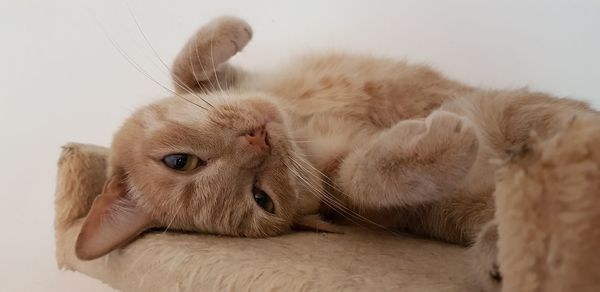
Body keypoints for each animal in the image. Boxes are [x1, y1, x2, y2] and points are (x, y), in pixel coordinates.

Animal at [75, 16, 596, 292]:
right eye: (261, 198)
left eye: (180, 161)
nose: (259, 140)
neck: (296, 119)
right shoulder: (351, 192)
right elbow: (362, 179)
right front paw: (443, 144)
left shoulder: (236, 81)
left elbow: (185, 67)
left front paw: (232, 28)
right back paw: (502, 252)